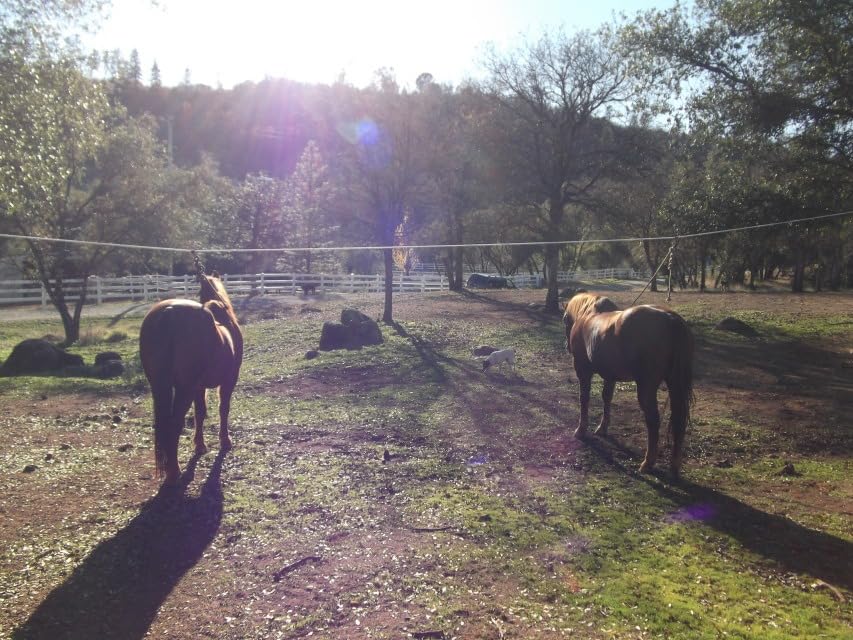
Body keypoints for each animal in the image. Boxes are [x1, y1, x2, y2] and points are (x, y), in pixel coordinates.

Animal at [139, 272, 243, 486]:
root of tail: (168, 313)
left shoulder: (199, 387)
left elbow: (200, 413)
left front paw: (200, 445)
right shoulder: (229, 381)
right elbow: (223, 409)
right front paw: (225, 441)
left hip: (161, 386)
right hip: (184, 388)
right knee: (174, 423)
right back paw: (174, 472)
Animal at [563, 292, 694, 477]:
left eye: (564, 319)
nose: (566, 346)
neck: (588, 315)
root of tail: (671, 319)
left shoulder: (583, 370)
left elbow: (584, 398)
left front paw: (581, 430)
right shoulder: (610, 375)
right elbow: (606, 398)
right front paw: (602, 428)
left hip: (647, 387)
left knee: (653, 420)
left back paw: (648, 463)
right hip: (675, 384)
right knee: (679, 420)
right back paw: (674, 466)